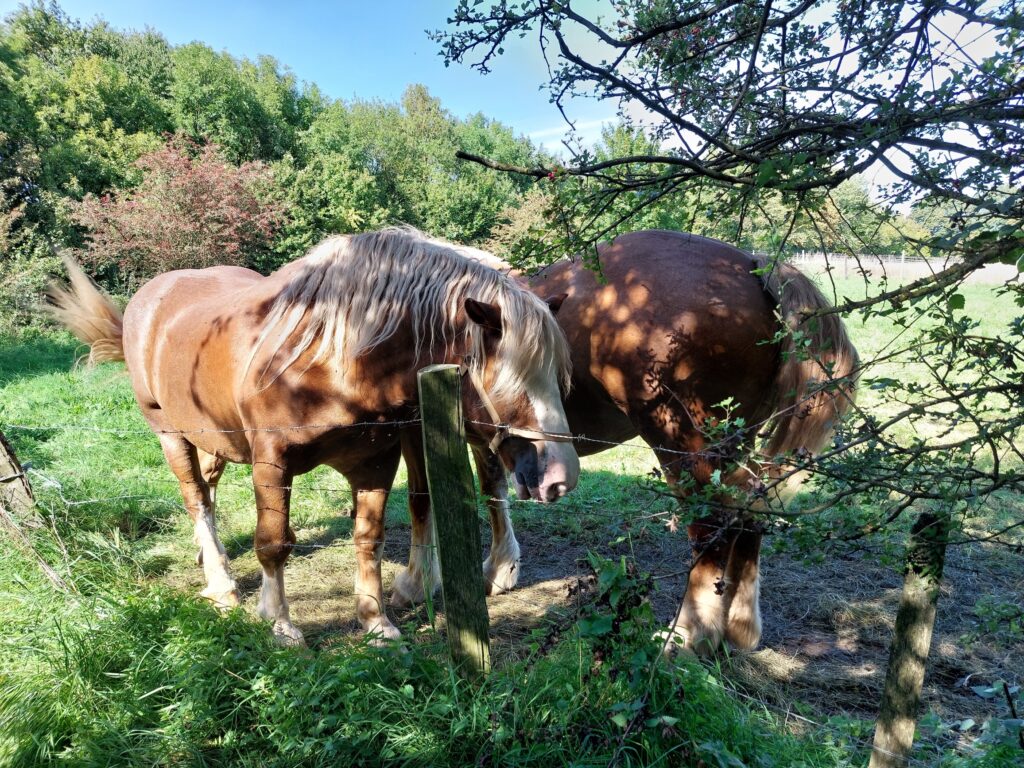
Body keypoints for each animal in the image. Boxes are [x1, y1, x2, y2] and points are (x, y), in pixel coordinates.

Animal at [51, 227, 581, 643]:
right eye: (512, 378)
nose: (561, 477)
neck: (331, 358)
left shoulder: (376, 460)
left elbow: (372, 534)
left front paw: (377, 622)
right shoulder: (272, 461)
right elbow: (272, 544)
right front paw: (281, 625)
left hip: (214, 434)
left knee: (210, 485)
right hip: (169, 434)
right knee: (195, 497)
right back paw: (221, 585)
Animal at [395, 230, 860, 655]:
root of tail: (752, 265)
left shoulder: (415, 427)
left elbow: (422, 499)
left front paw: (417, 582)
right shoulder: (490, 435)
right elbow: (493, 492)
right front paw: (500, 568)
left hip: (687, 446)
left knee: (710, 523)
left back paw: (689, 633)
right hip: (736, 443)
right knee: (749, 510)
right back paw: (740, 627)